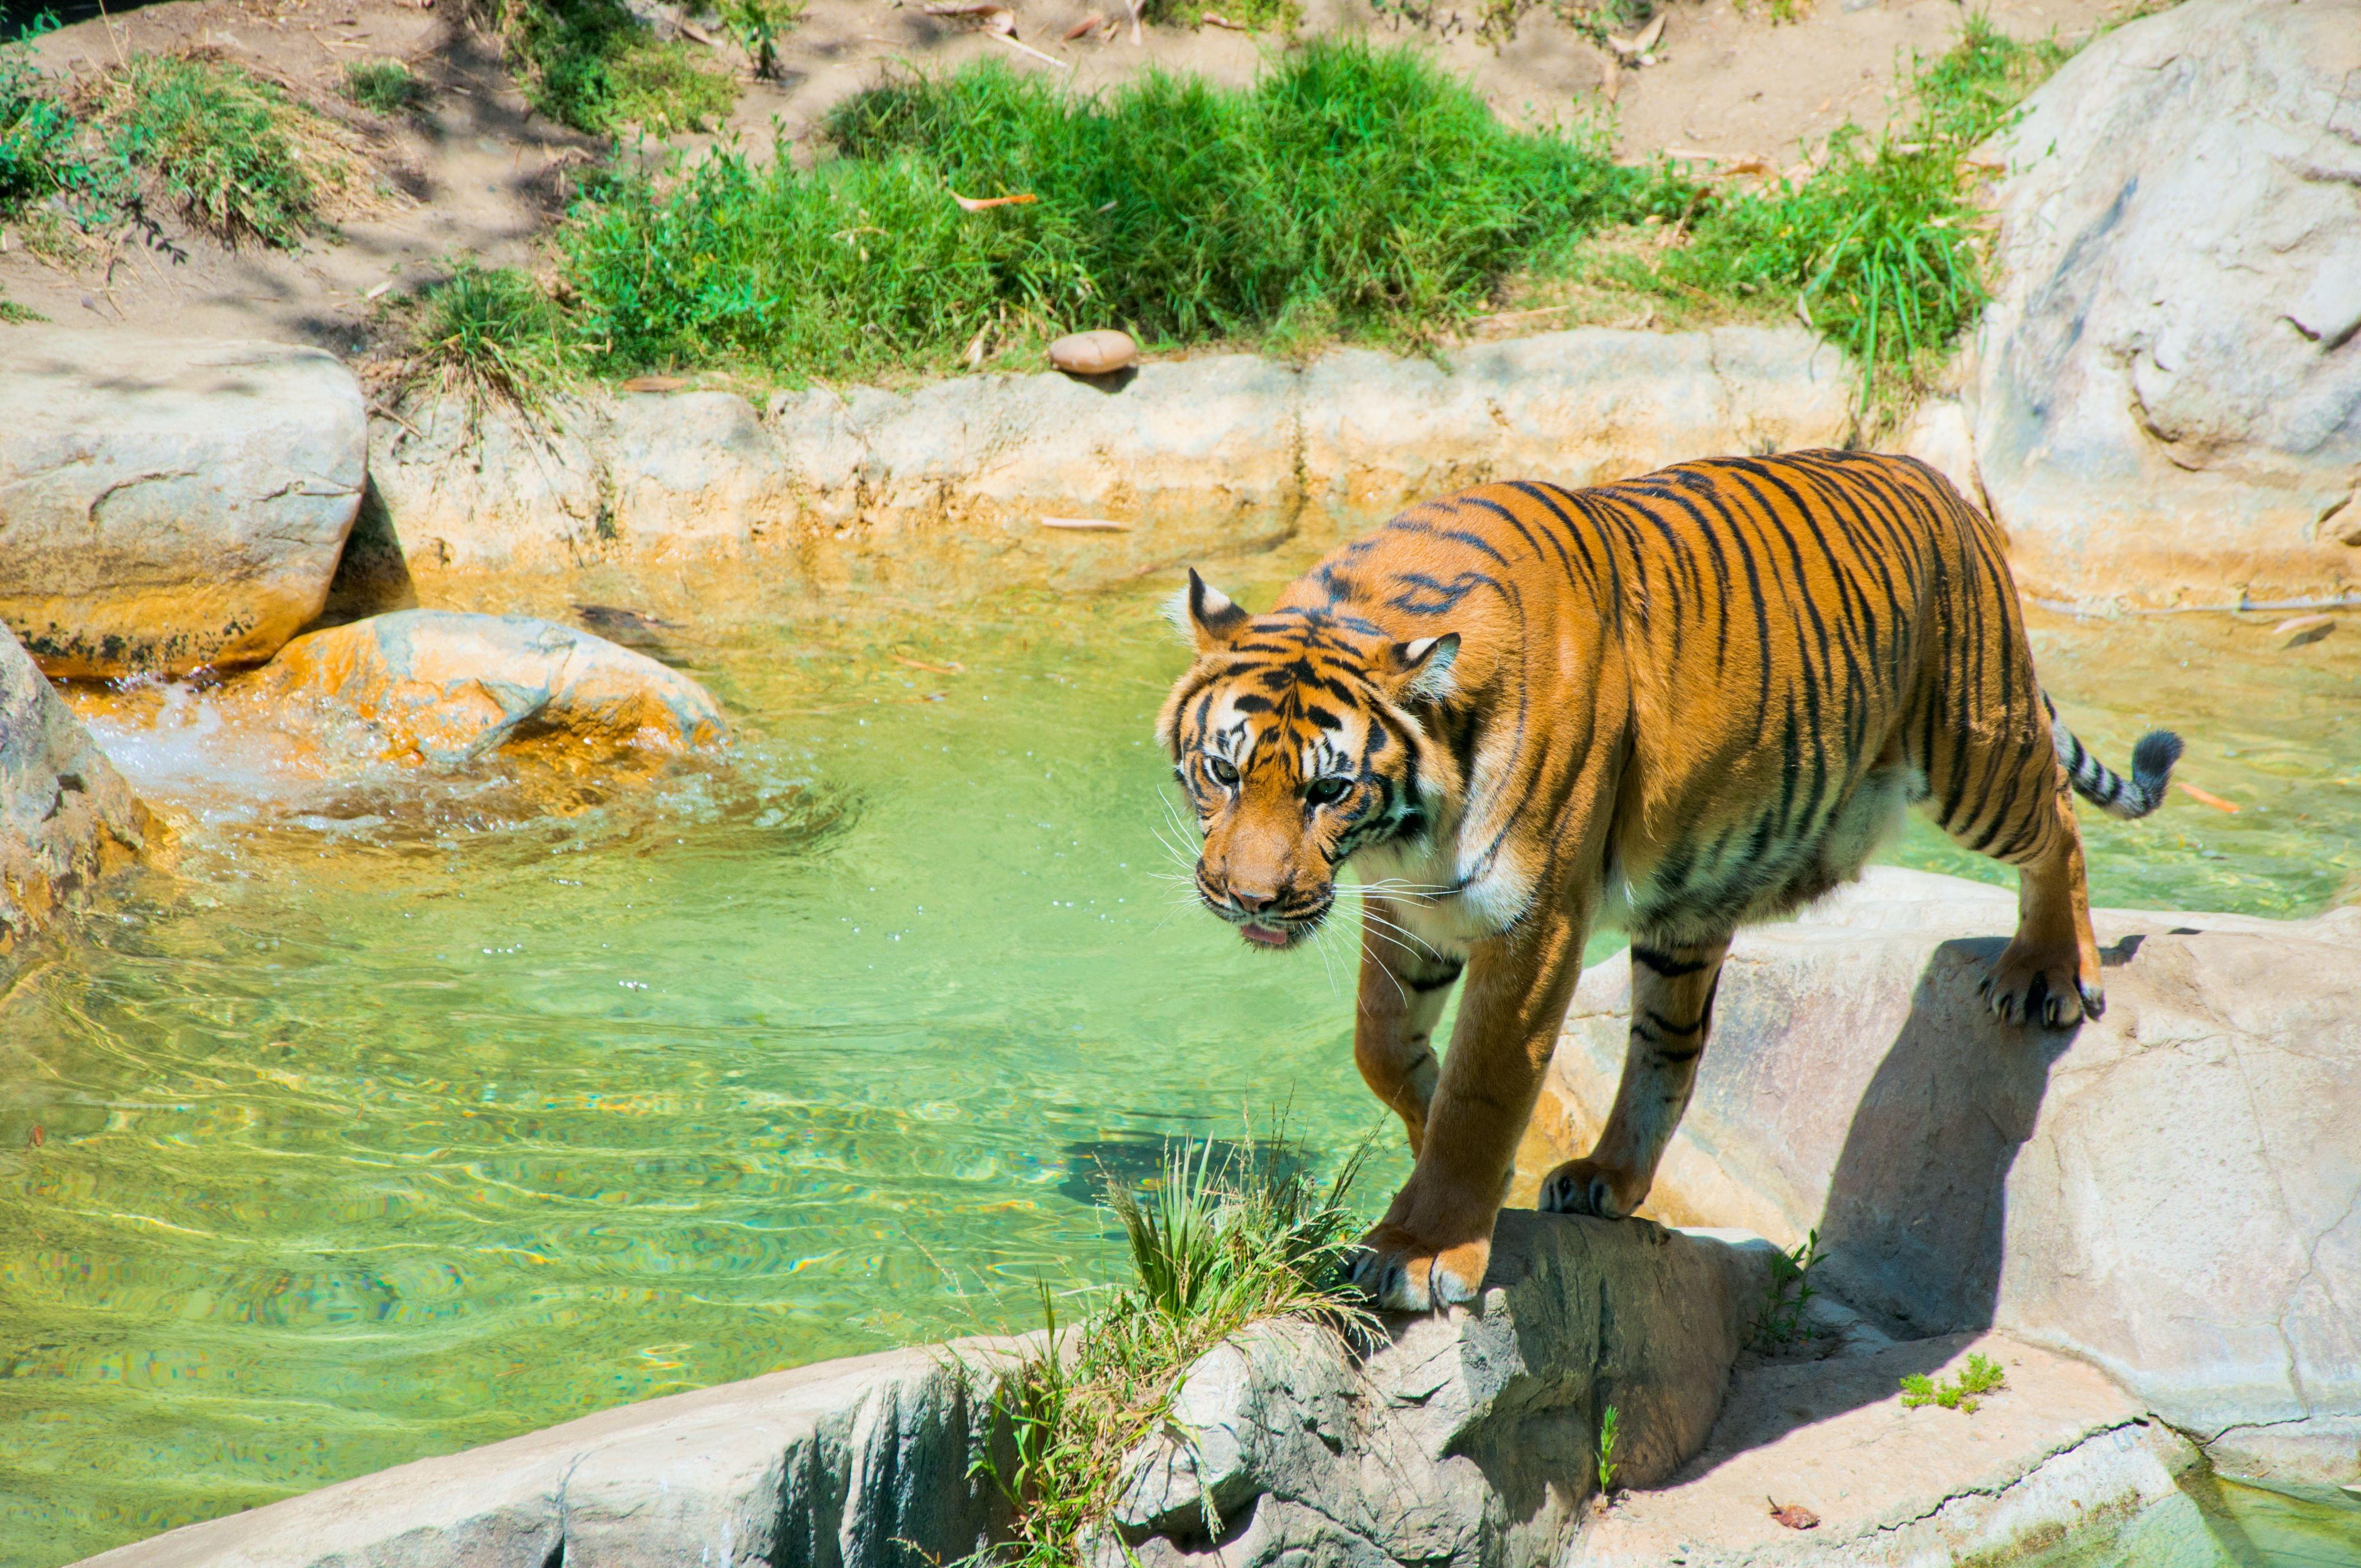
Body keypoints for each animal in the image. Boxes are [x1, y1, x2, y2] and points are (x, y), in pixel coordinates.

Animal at [1152, 451, 2182, 1313]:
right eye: (1223, 770)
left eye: (1327, 790)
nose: (1249, 899)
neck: (1406, 833)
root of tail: (1940, 482)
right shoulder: (1412, 906)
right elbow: (1379, 1046)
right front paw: (1427, 1129)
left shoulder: (1532, 926)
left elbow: (1483, 1095)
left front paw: (1426, 1248)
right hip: (1690, 914)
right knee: (1669, 1053)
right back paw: (1606, 1178)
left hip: (1975, 750)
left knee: (2058, 819)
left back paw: (2047, 972)